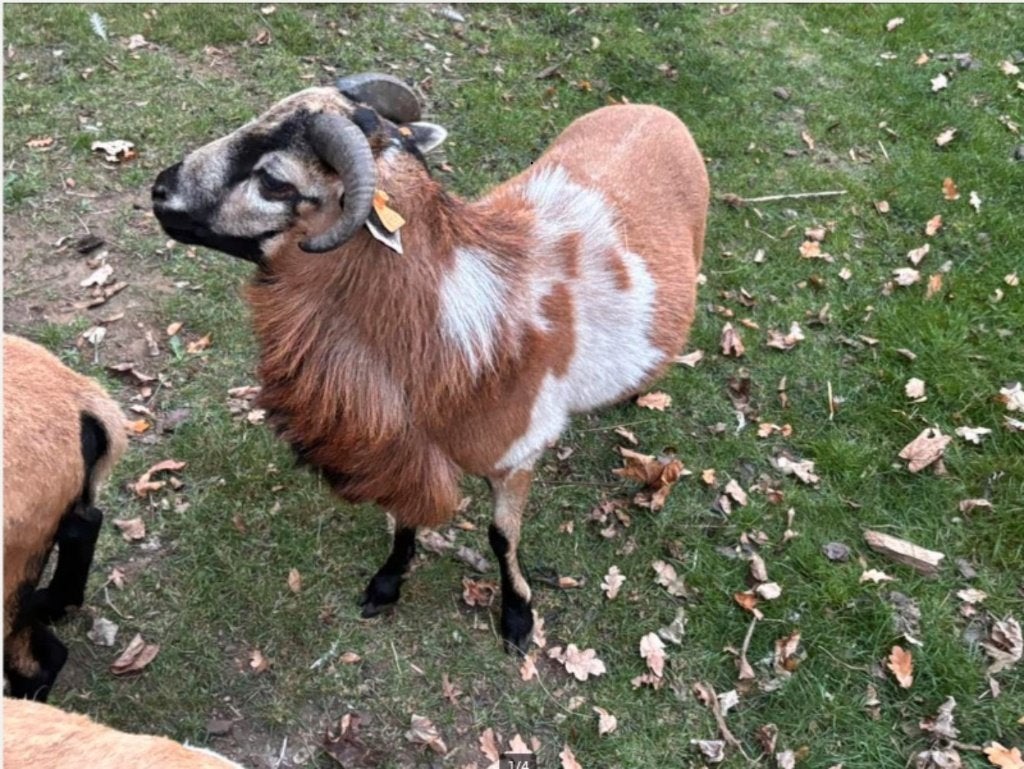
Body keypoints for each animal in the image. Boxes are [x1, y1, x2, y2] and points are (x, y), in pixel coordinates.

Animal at [151, 73, 708, 652]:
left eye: (275, 182)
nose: (160, 190)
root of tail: (652, 110)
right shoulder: (399, 444)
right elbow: (405, 516)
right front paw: (386, 585)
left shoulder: (517, 457)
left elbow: (501, 537)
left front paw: (518, 618)